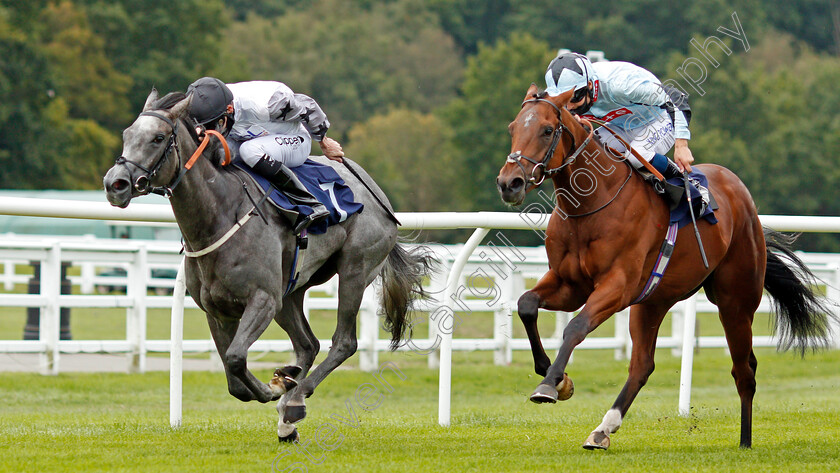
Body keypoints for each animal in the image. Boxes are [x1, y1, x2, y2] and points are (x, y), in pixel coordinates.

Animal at [105, 90, 434, 440]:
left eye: (158, 138)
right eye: (127, 135)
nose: (115, 184)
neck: (220, 216)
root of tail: (381, 199)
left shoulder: (262, 299)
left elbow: (236, 358)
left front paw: (277, 388)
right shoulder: (217, 311)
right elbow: (234, 378)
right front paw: (279, 382)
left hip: (354, 271)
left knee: (343, 342)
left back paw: (295, 399)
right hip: (290, 291)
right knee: (307, 344)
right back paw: (289, 410)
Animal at [496, 85, 832, 450]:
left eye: (546, 130)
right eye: (512, 128)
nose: (509, 183)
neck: (589, 205)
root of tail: (739, 191)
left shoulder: (617, 285)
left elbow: (575, 327)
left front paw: (550, 385)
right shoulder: (570, 284)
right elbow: (526, 304)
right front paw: (558, 378)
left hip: (735, 301)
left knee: (744, 369)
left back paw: (745, 441)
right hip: (653, 301)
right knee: (642, 365)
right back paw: (603, 429)